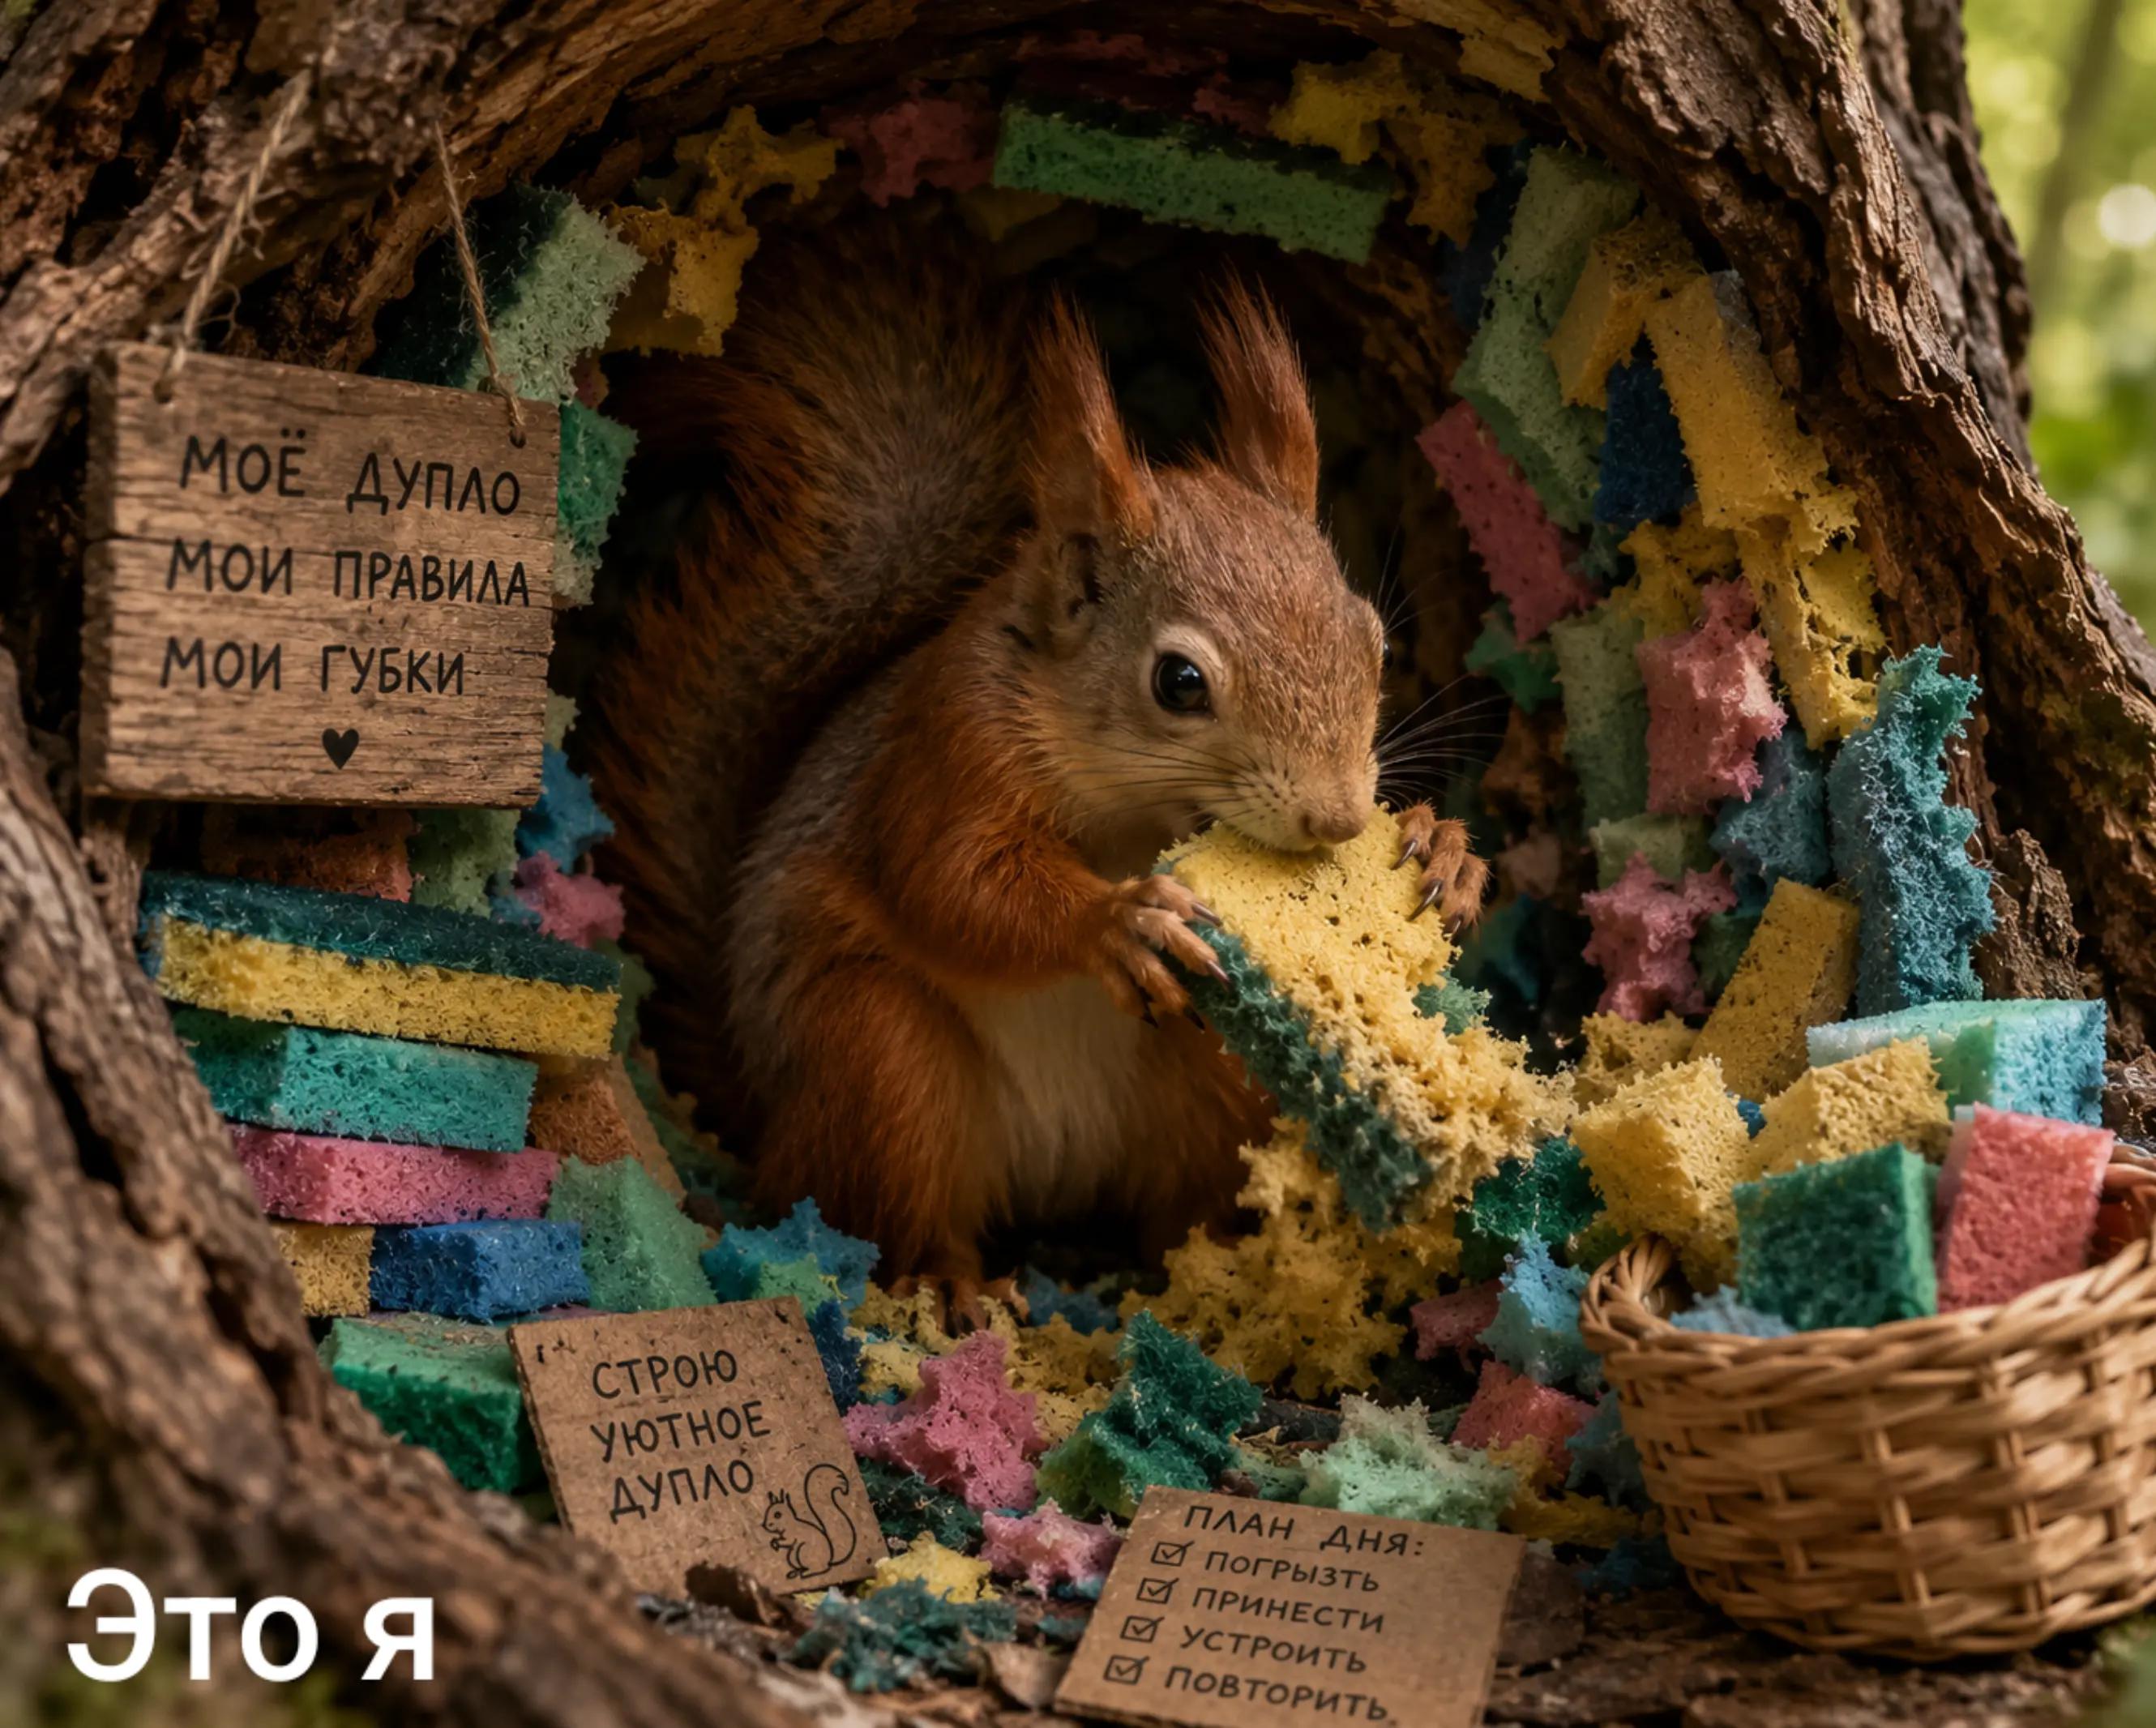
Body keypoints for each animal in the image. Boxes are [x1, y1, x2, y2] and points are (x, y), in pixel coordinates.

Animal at [593, 222, 1487, 1319]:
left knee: (1181, 1205)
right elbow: (950, 880)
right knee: (890, 1208)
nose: (1338, 820)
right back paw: (950, 1281)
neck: (1130, 801)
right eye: (1179, 681)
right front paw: (1116, 921)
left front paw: (1442, 850)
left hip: (1198, 1079)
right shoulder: (948, 745)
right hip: (876, 1057)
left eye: (1372, 641)